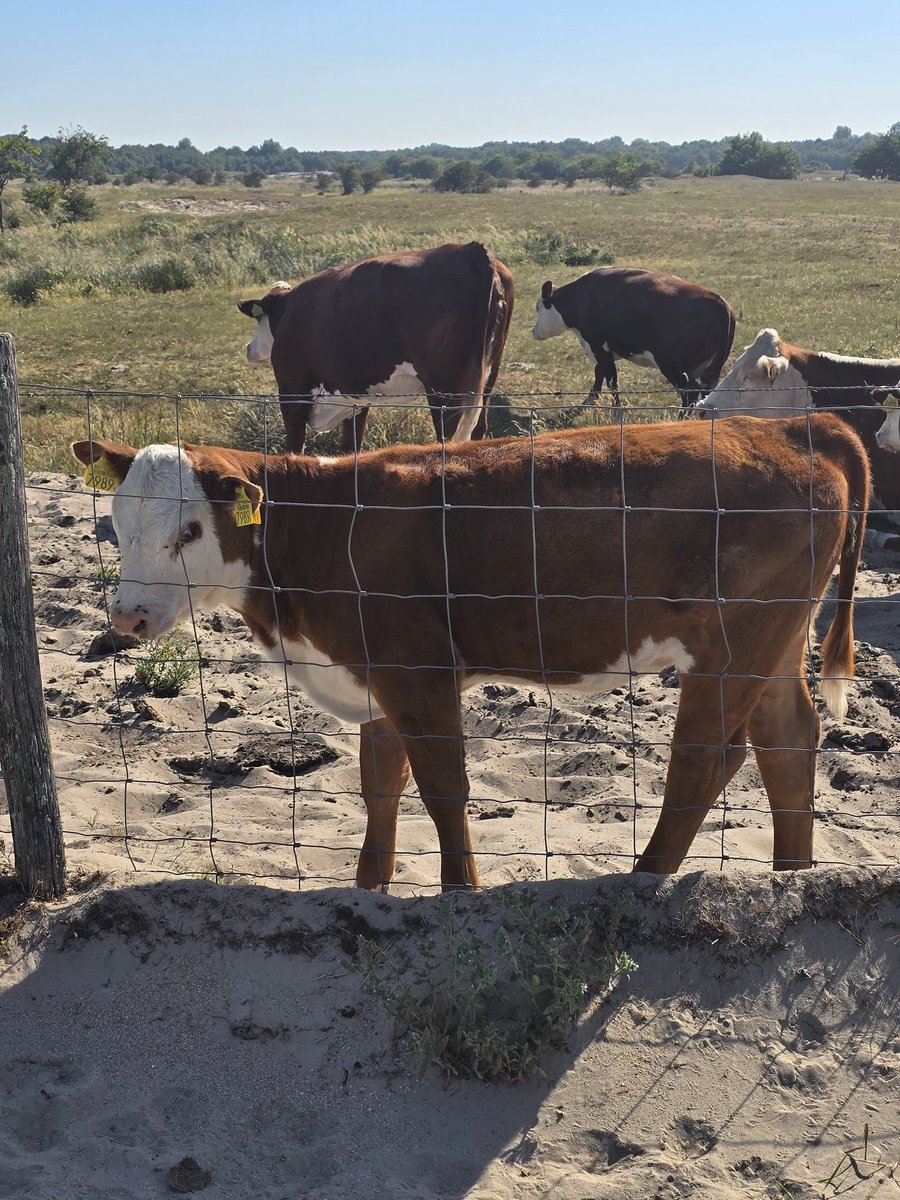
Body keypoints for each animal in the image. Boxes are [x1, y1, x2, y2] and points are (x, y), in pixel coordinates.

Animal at [73, 414, 868, 890]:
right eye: (116, 519)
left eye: (189, 530)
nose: (128, 616)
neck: (327, 528)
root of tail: (783, 426)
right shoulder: (375, 678)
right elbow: (381, 786)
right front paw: (369, 889)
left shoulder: (419, 672)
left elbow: (442, 789)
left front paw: (461, 892)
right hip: (775, 639)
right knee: (787, 743)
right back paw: (794, 878)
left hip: (732, 643)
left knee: (706, 759)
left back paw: (642, 880)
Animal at [238, 241, 515, 454]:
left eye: (259, 319)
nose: (249, 347)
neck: (289, 310)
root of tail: (471, 250)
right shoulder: (355, 400)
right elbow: (350, 449)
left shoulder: (292, 393)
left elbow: (294, 451)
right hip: (486, 382)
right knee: (478, 430)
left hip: (448, 394)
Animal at [531, 267, 735, 409]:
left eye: (538, 307)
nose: (533, 331)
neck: (581, 298)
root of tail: (720, 303)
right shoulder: (603, 351)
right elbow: (600, 377)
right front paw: (589, 402)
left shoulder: (598, 347)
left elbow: (611, 382)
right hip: (710, 371)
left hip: (671, 364)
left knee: (689, 393)